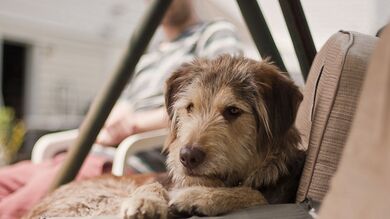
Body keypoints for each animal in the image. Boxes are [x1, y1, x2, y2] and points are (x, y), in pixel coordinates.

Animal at [24, 55, 306, 219]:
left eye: (233, 111)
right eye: (189, 107)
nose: (187, 156)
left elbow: (254, 195)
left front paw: (198, 198)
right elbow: (154, 185)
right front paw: (144, 201)